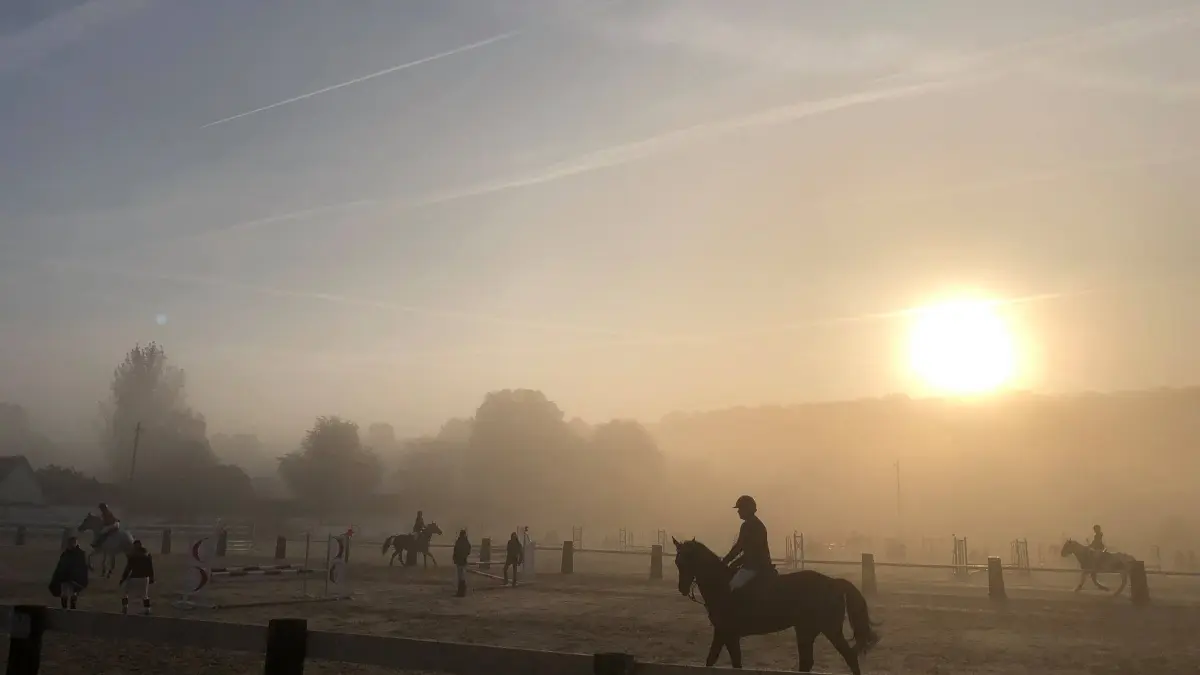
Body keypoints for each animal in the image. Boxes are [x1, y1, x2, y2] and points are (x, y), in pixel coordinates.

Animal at [672, 533, 878, 667]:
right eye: (677, 562)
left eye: (688, 560)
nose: (682, 588)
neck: (720, 584)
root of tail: (833, 582)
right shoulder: (725, 634)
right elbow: (719, 661)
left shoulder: (727, 633)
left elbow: (724, 662)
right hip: (806, 629)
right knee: (807, 662)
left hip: (829, 629)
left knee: (849, 656)